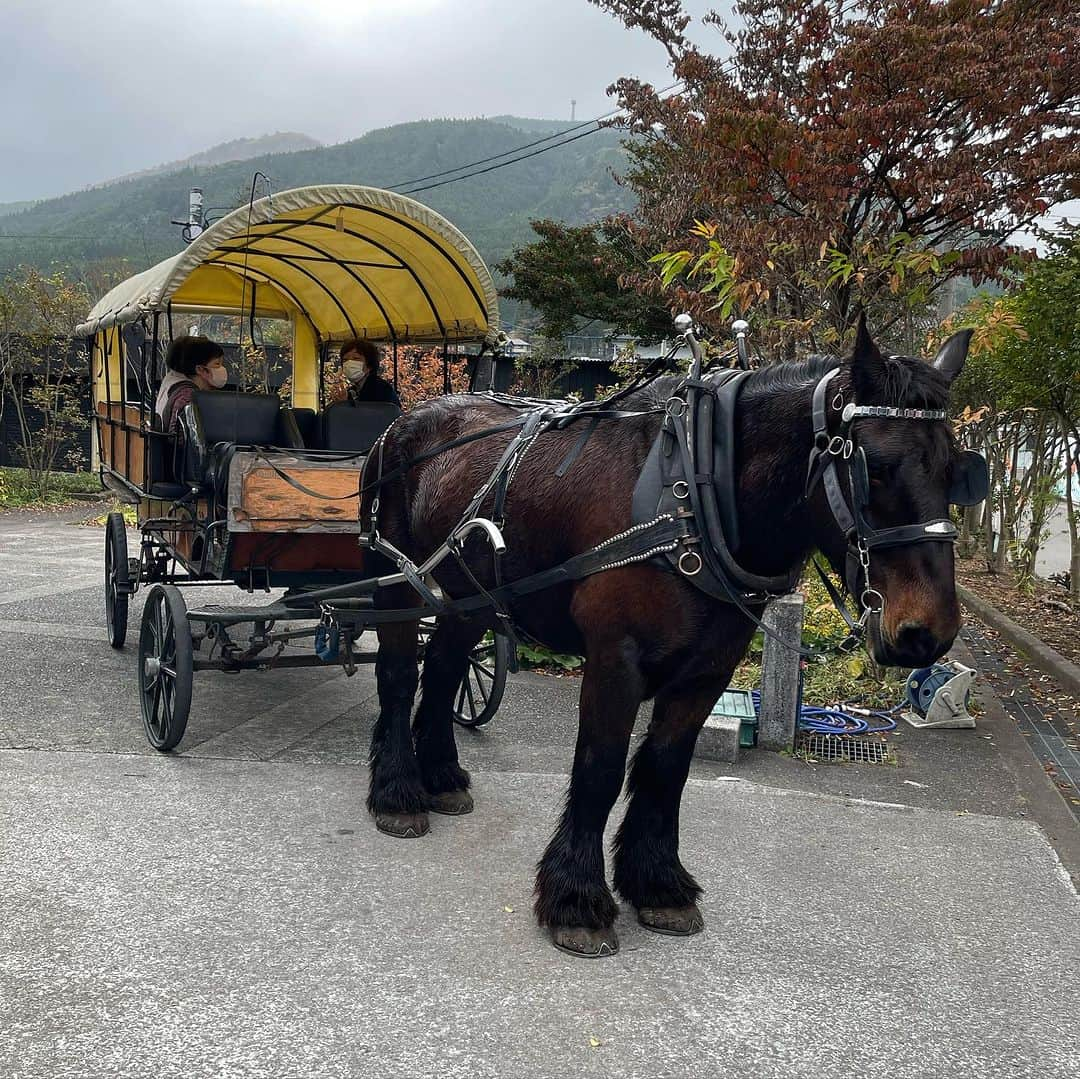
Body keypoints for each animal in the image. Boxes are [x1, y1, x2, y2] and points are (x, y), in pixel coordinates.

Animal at [360, 315, 972, 959]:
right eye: (873, 467)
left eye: (957, 471)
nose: (927, 633)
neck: (698, 492)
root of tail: (404, 423)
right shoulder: (615, 660)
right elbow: (600, 769)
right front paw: (577, 899)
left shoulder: (709, 670)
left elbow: (665, 768)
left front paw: (657, 884)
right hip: (396, 582)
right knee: (398, 677)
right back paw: (397, 793)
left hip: (469, 598)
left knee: (443, 671)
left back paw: (440, 777)